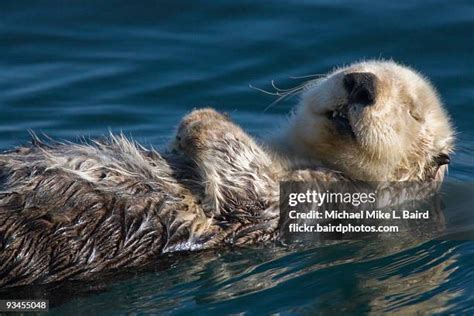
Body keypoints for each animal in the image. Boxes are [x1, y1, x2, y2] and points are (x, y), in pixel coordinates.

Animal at [0, 60, 454, 288]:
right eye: (357, 67)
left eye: (412, 111)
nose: (361, 83)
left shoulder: (320, 200)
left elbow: (249, 187)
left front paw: (202, 119)